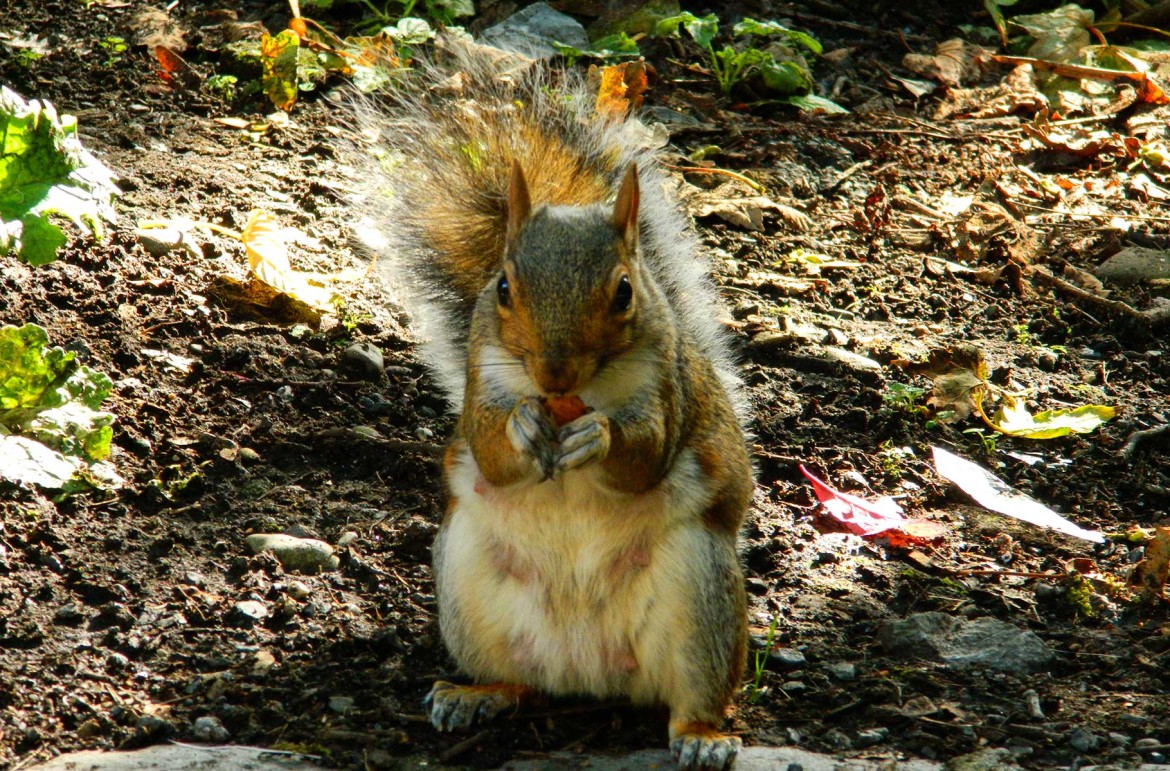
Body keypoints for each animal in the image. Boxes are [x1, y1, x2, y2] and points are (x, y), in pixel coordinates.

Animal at [355, 37, 753, 771]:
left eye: (624, 292)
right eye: (502, 287)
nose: (553, 373)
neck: (578, 393)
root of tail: (585, 670)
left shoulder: (665, 390)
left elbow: (645, 457)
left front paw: (599, 437)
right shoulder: (485, 377)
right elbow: (488, 446)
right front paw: (523, 425)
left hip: (701, 594)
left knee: (695, 693)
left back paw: (702, 737)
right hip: (468, 583)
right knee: (515, 678)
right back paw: (474, 694)